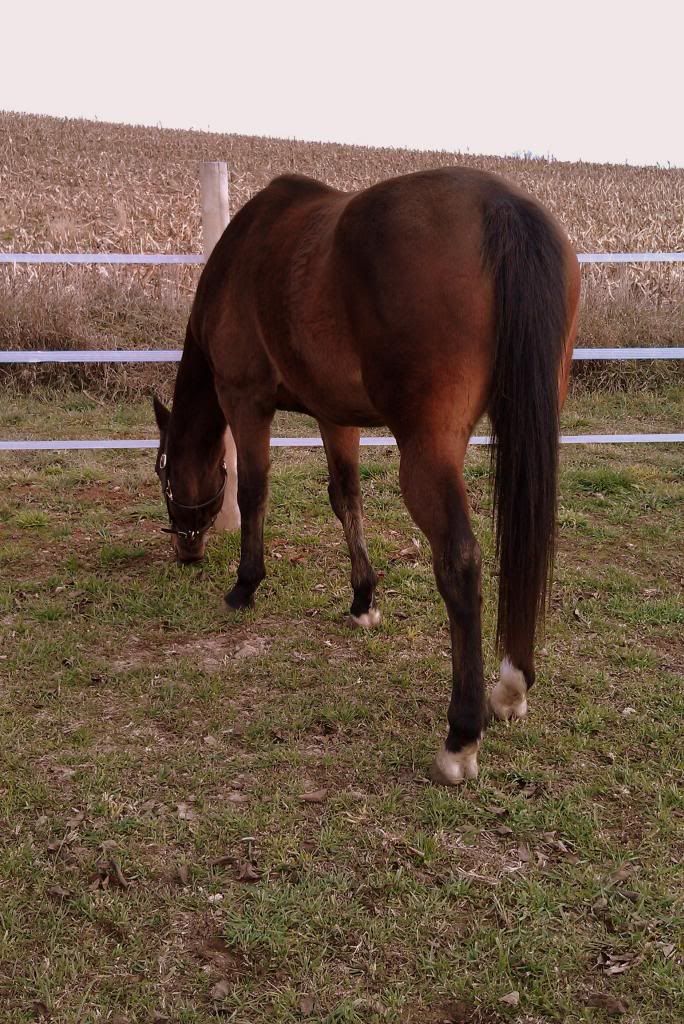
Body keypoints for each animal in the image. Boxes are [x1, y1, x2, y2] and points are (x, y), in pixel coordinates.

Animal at [153, 166, 580, 785]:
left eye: (164, 476)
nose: (186, 550)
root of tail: (500, 205)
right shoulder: (335, 415)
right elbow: (346, 497)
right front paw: (363, 599)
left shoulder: (244, 399)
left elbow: (255, 490)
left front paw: (245, 583)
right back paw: (511, 685)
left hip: (427, 449)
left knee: (460, 561)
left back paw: (461, 736)